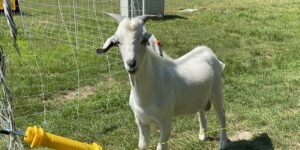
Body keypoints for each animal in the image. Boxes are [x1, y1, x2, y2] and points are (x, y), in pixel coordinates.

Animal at [97, 14, 229, 150]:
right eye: (117, 42)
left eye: (144, 40)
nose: (131, 63)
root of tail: (207, 51)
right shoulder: (141, 121)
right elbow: (142, 145)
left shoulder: (165, 121)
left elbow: (161, 145)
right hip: (200, 95)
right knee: (201, 109)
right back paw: (202, 135)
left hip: (216, 90)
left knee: (222, 114)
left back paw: (223, 143)